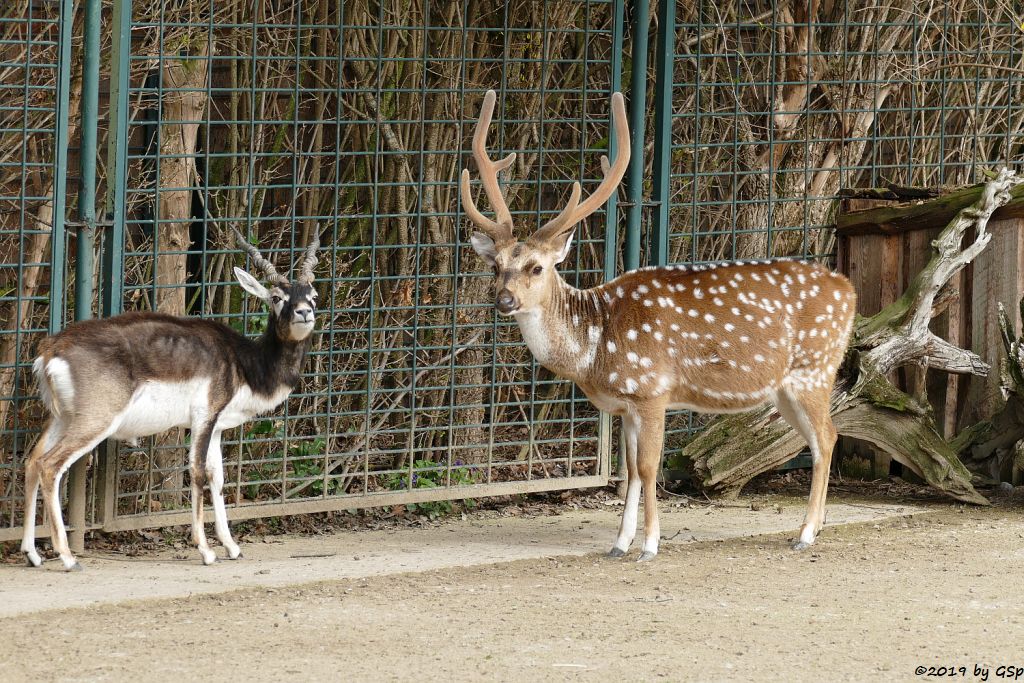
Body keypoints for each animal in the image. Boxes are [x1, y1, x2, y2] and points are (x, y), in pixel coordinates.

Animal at [23, 227, 319, 569]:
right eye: (276, 297)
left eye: (313, 295)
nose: (304, 312)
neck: (242, 361)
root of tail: (51, 350)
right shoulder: (203, 417)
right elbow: (198, 473)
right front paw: (206, 551)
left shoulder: (216, 426)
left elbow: (218, 478)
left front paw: (232, 547)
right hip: (96, 421)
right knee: (49, 466)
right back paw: (68, 557)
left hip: (63, 418)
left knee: (32, 462)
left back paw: (32, 553)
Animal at [464, 90, 856, 561]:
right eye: (497, 265)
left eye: (537, 268)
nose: (503, 300)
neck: (595, 346)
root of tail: (849, 289)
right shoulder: (627, 404)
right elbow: (632, 471)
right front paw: (620, 543)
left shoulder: (652, 389)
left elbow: (651, 467)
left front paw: (649, 545)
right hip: (784, 388)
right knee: (818, 439)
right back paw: (813, 528)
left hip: (814, 368)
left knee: (828, 436)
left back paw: (805, 533)